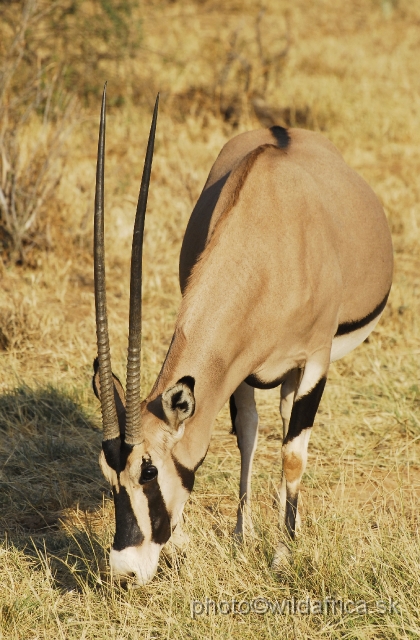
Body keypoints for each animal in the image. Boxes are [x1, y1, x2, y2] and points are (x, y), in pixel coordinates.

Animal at [92, 86, 394, 584]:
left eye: (149, 472)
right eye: (107, 473)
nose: (124, 570)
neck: (269, 242)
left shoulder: (315, 360)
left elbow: (292, 454)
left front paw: (283, 553)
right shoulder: (238, 370)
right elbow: (247, 436)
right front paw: (241, 536)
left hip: (302, 368)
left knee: (293, 435)